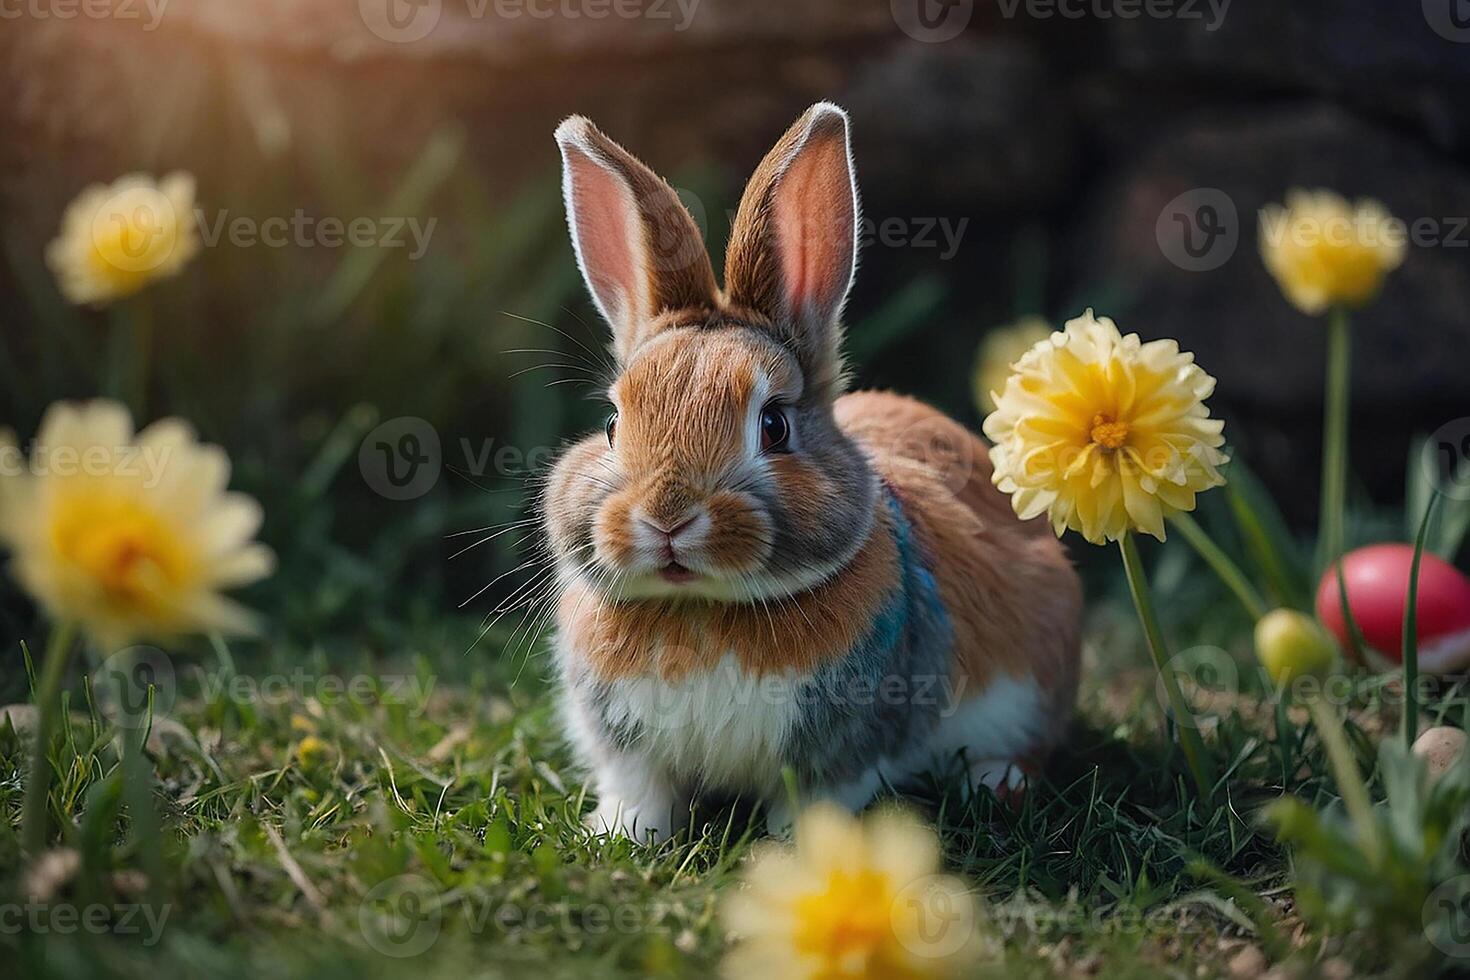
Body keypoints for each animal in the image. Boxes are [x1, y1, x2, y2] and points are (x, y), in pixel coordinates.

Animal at [540, 99, 1081, 840]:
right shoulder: (628, 751)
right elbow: (641, 793)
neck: (703, 608)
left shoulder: (846, 752)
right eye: (612, 424)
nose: (668, 519)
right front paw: (620, 835)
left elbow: (819, 796)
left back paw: (993, 782)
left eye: (774, 426)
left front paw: (802, 847)